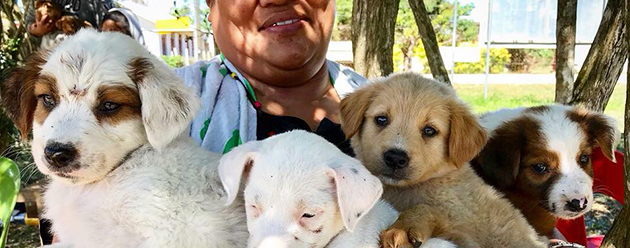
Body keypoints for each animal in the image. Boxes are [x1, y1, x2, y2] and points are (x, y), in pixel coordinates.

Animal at [340, 72, 548, 248]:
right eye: (381, 119)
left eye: (429, 130)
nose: (395, 158)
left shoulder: (467, 237)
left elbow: (430, 210)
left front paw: (402, 228)